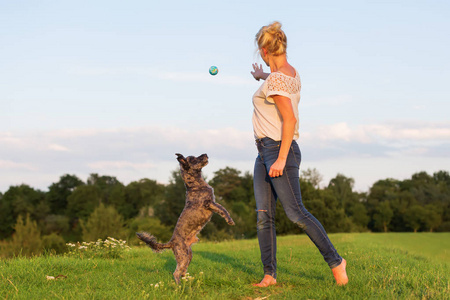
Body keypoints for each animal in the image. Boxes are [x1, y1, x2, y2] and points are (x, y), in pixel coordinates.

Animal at [137, 154, 236, 282]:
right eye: (193, 158)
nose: (205, 154)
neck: (195, 185)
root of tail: (171, 242)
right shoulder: (209, 203)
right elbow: (222, 209)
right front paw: (230, 220)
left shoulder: (211, 203)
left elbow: (223, 208)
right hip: (183, 256)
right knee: (176, 272)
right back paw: (179, 285)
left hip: (189, 255)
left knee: (183, 271)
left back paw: (188, 281)